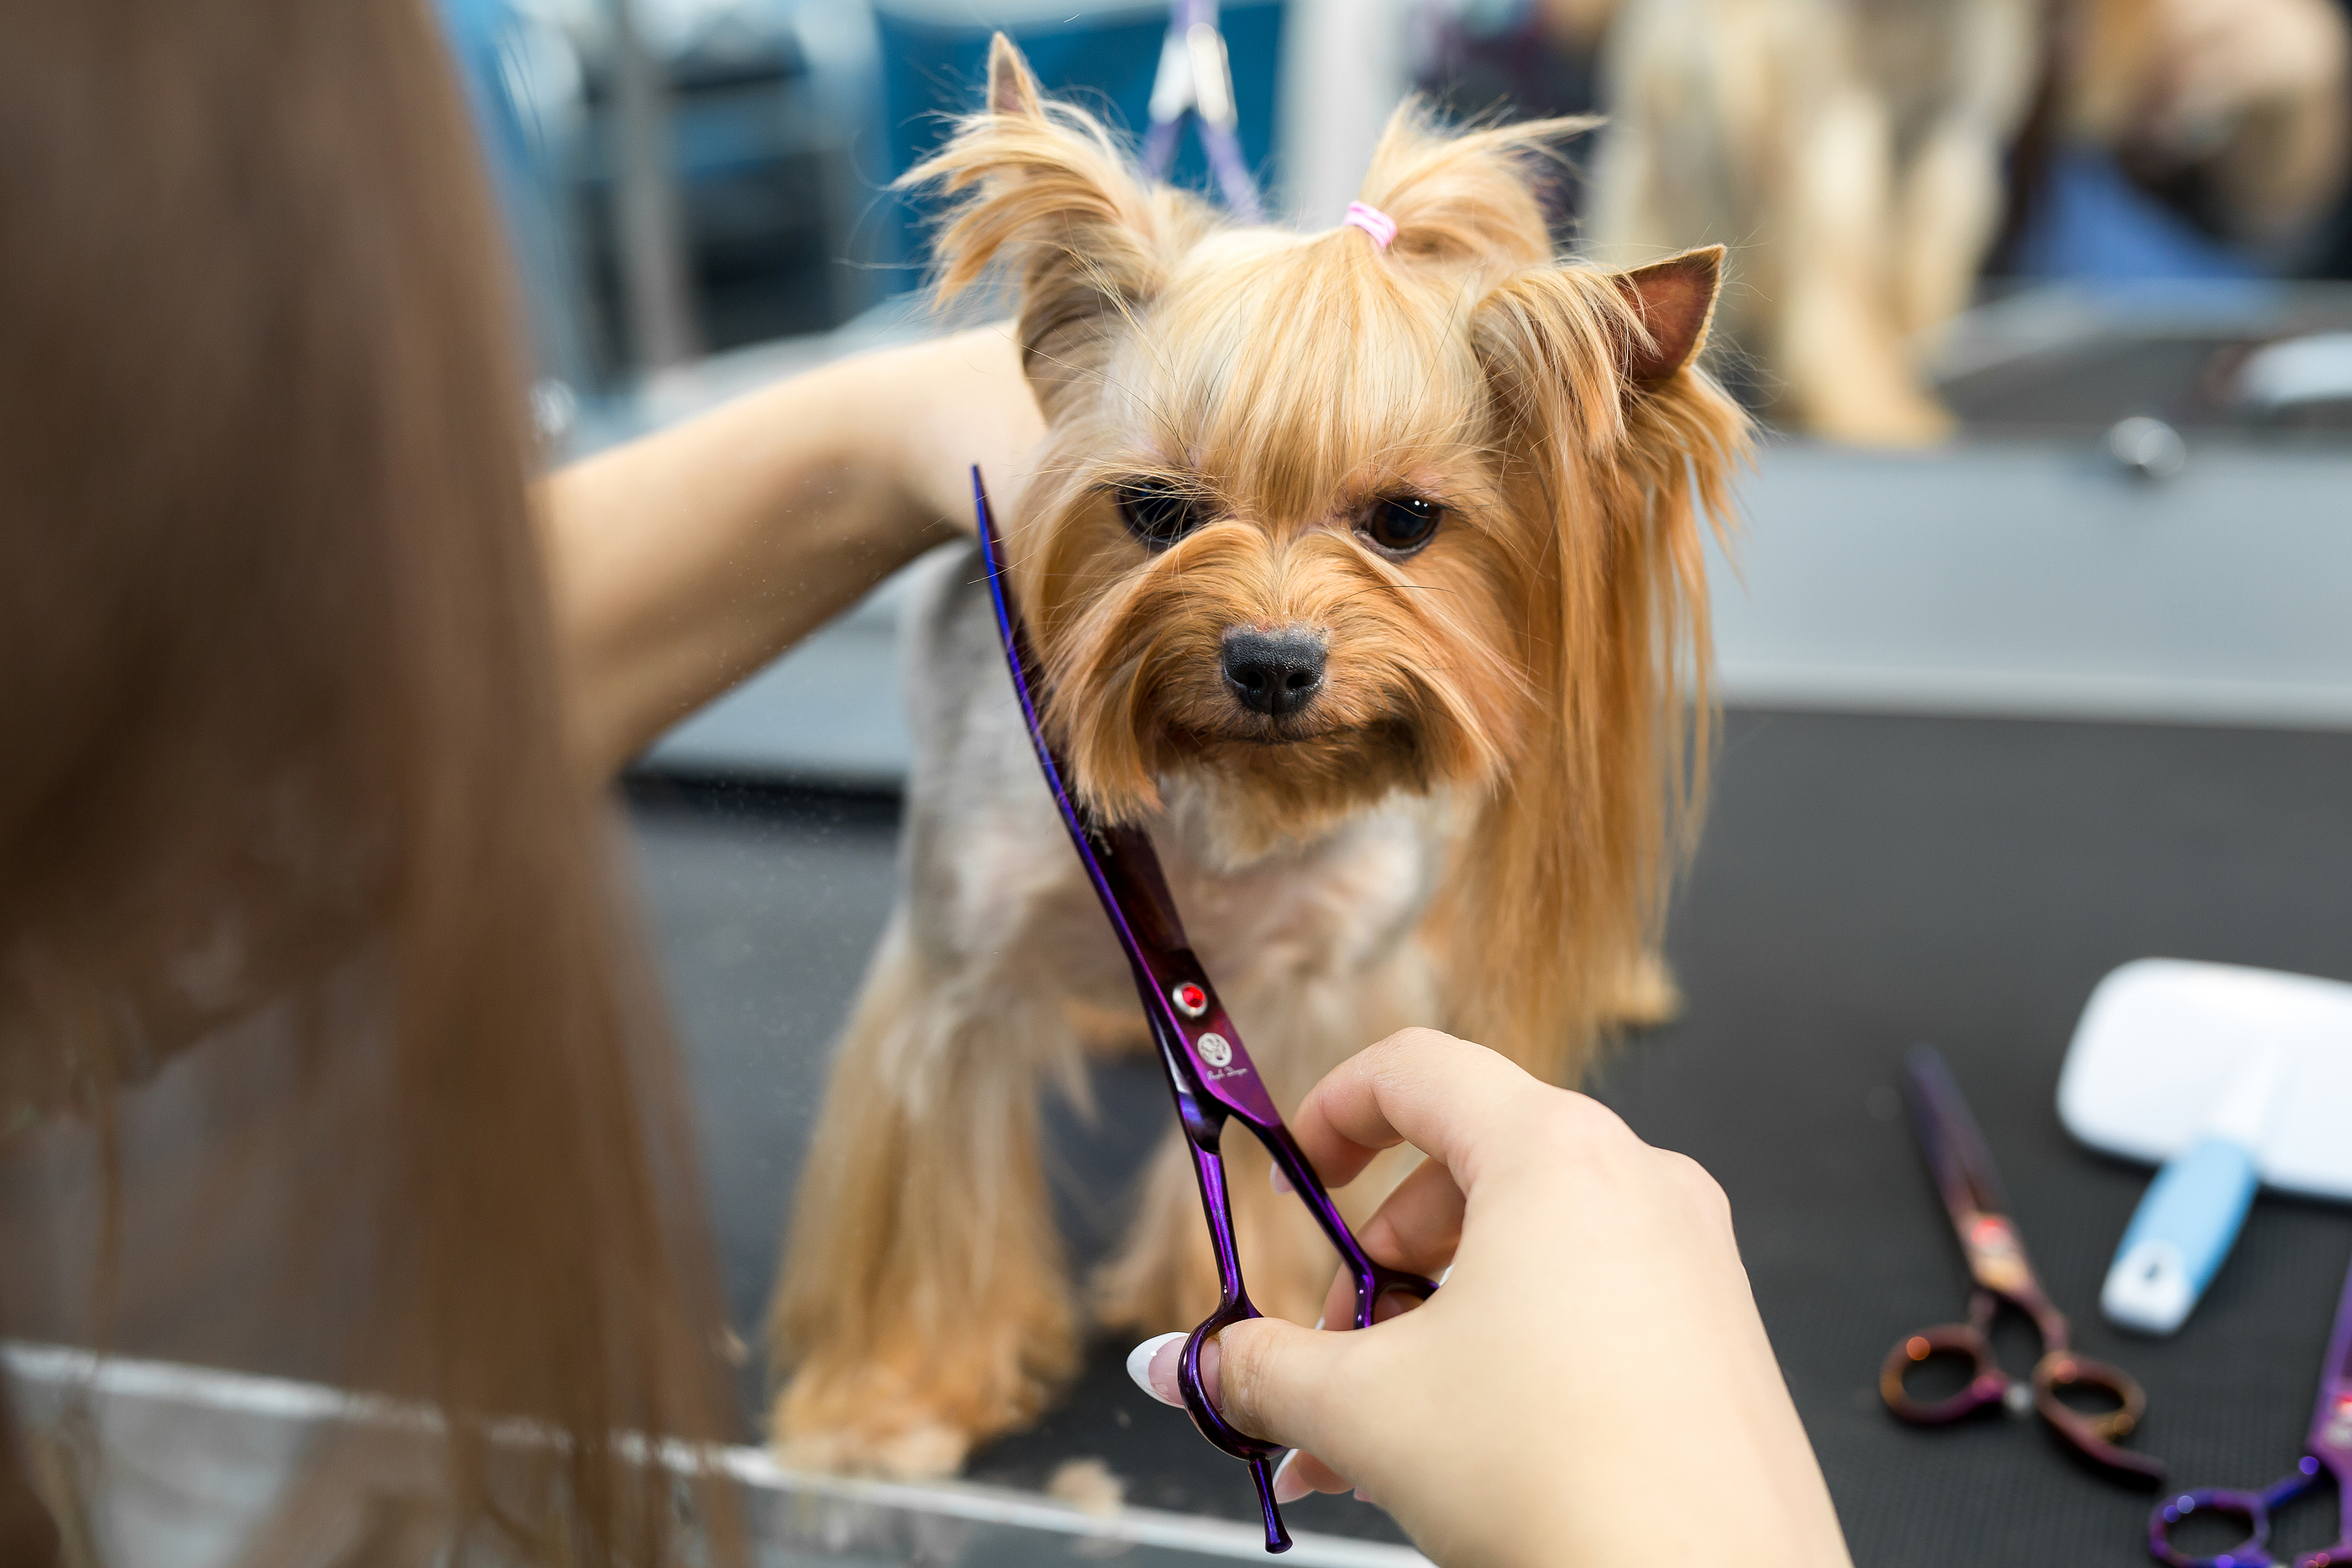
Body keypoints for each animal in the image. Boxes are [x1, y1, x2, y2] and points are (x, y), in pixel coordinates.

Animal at [766, 39, 1750, 1486]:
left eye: (1405, 520)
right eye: (1156, 510)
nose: (1274, 662)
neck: (1219, 804)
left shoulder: (1312, 985)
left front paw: (1268, 1306)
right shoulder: (956, 978)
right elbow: (933, 1199)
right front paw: (892, 1402)